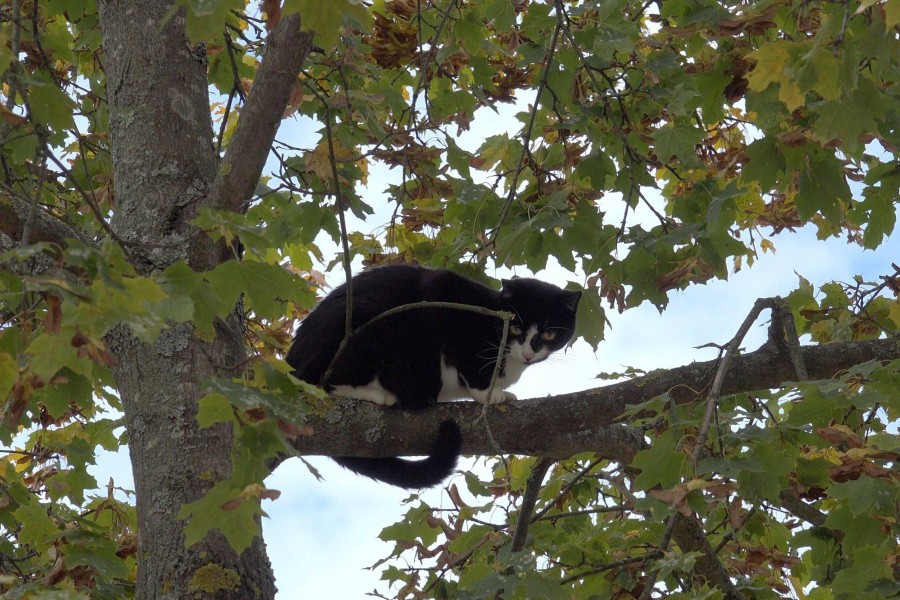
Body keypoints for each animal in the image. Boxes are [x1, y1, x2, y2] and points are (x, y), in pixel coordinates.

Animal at [288, 264, 584, 490]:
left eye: (549, 334)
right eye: (516, 327)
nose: (528, 353)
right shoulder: (441, 290)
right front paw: (486, 393)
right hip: (369, 326)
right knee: (322, 382)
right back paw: (383, 394)